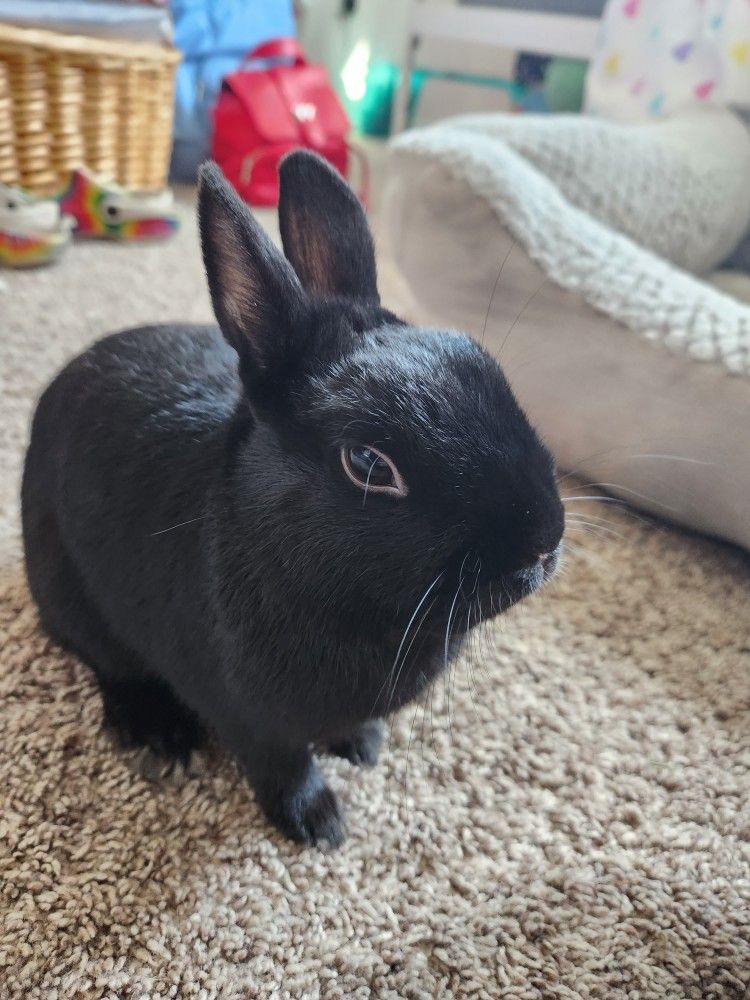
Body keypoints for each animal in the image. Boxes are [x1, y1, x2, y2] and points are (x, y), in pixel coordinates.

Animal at [21, 152, 564, 847]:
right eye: (369, 465)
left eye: (486, 368)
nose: (544, 542)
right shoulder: (246, 714)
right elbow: (282, 763)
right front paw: (320, 824)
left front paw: (362, 744)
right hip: (68, 592)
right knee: (103, 660)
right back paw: (158, 736)